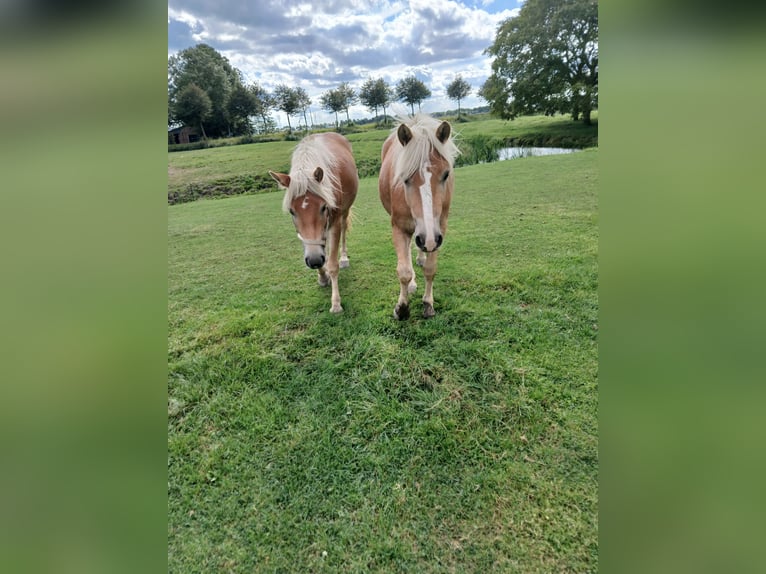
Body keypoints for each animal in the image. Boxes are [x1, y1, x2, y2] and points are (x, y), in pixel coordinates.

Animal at [270, 132, 360, 316]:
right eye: (292, 211)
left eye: (324, 207)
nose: (314, 260)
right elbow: (317, 250)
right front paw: (322, 276)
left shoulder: (334, 223)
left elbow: (332, 265)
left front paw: (336, 303)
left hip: (344, 212)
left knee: (344, 231)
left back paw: (344, 258)